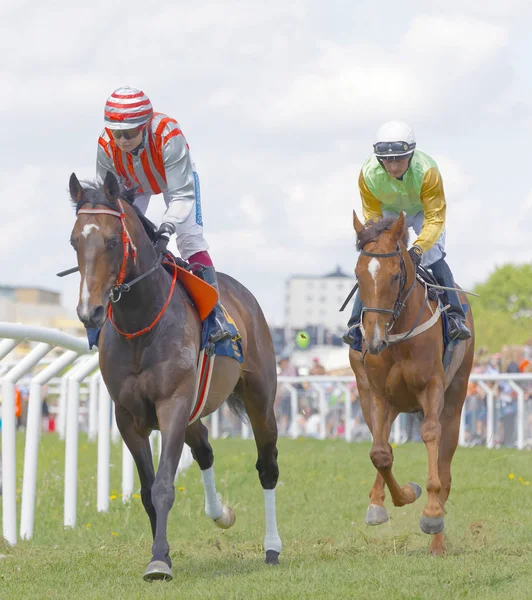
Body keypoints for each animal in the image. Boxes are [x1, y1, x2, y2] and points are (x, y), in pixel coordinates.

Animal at [68, 172, 282, 580]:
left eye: (112, 241)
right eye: (74, 240)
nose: (90, 312)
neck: (140, 323)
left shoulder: (173, 404)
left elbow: (164, 485)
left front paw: (158, 561)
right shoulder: (128, 418)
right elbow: (147, 490)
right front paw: (162, 554)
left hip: (260, 400)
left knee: (267, 467)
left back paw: (272, 547)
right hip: (194, 413)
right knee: (205, 451)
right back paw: (220, 513)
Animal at [350, 210, 474, 552]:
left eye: (395, 276)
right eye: (358, 275)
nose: (374, 339)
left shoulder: (432, 387)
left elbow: (431, 437)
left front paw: (431, 515)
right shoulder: (378, 393)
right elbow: (380, 453)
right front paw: (399, 496)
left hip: (455, 398)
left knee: (444, 466)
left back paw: (438, 539)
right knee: (382, 444)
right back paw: (378, 502)